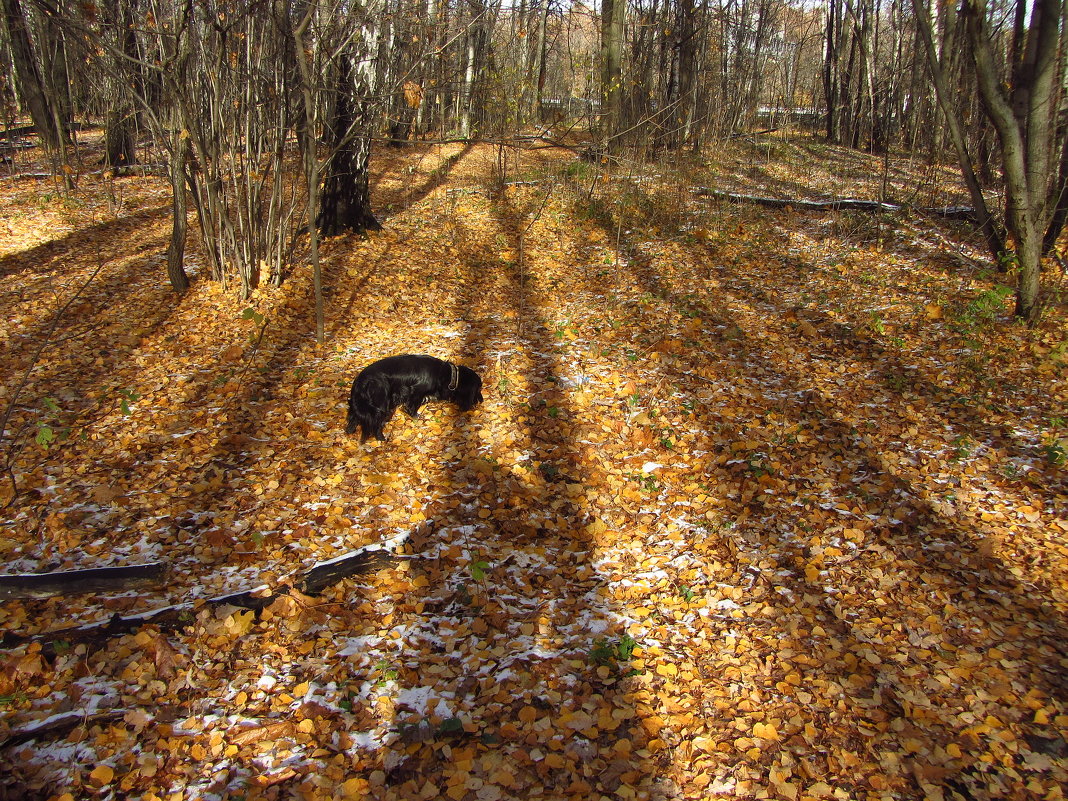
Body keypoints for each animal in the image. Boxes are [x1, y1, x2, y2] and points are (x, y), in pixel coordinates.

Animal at [346, 354, 484, 442]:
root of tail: (361, 380)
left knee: (352, 421)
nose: (481, 401)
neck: (446, 375)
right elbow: (412, 407)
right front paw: (416, 417)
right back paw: (382, 439)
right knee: (376, 425)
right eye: (478, 389)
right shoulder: (416, 391)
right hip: (381, 406)